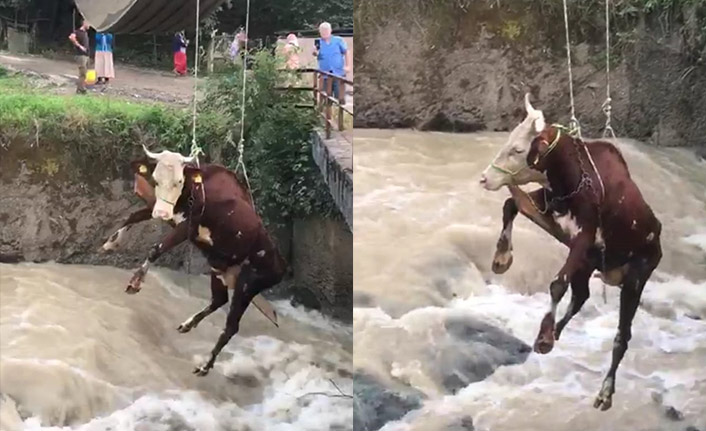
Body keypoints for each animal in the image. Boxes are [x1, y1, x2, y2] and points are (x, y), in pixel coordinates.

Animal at [99, 147, 286, 376]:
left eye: (179, 181)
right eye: (156, 178)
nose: (162, 213)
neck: (196, 190)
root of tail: (281, 266)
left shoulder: (187, 227)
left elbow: (156, 249)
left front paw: (136, 282)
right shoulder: (163, 210)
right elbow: (133, 216)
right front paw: (111, 243)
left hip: (247, 286)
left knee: (231, 326)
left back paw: (205, 365)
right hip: (219, 269)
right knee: (219, 300)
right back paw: (187, 325)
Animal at [524, 125, 664, 412]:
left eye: (535, 146)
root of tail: (658, 239)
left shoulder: (583, 236)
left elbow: (557, 283)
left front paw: (544, 337)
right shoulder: (554, 215)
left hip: (634, 280)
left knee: (622, 336)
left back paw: (605, 393)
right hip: (591, 264)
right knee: (582, 295)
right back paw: (555, 332)